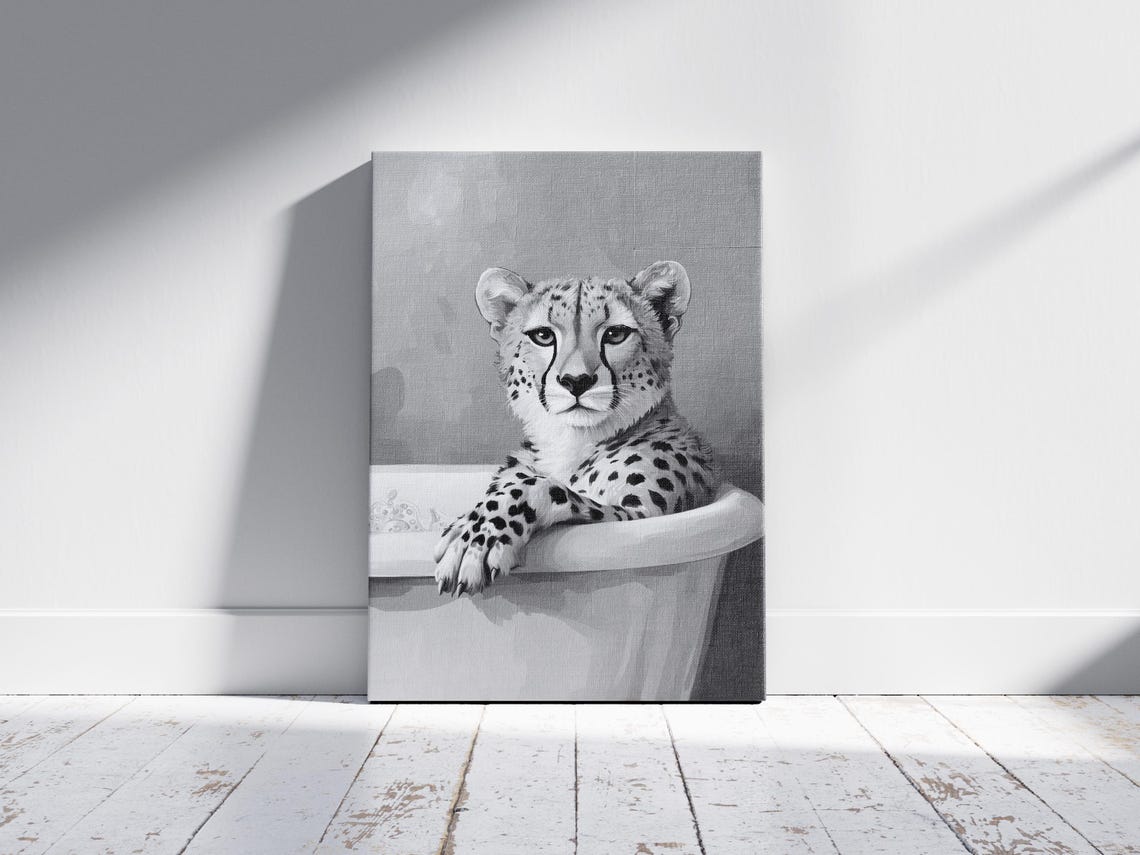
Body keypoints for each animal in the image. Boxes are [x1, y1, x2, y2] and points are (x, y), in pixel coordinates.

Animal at [433, 260, 720, 595]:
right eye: (543, 336)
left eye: (616, 334)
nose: (576, 381)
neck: (569, 440)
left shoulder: (638, 516)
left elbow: (538, 486)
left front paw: (475, 539)